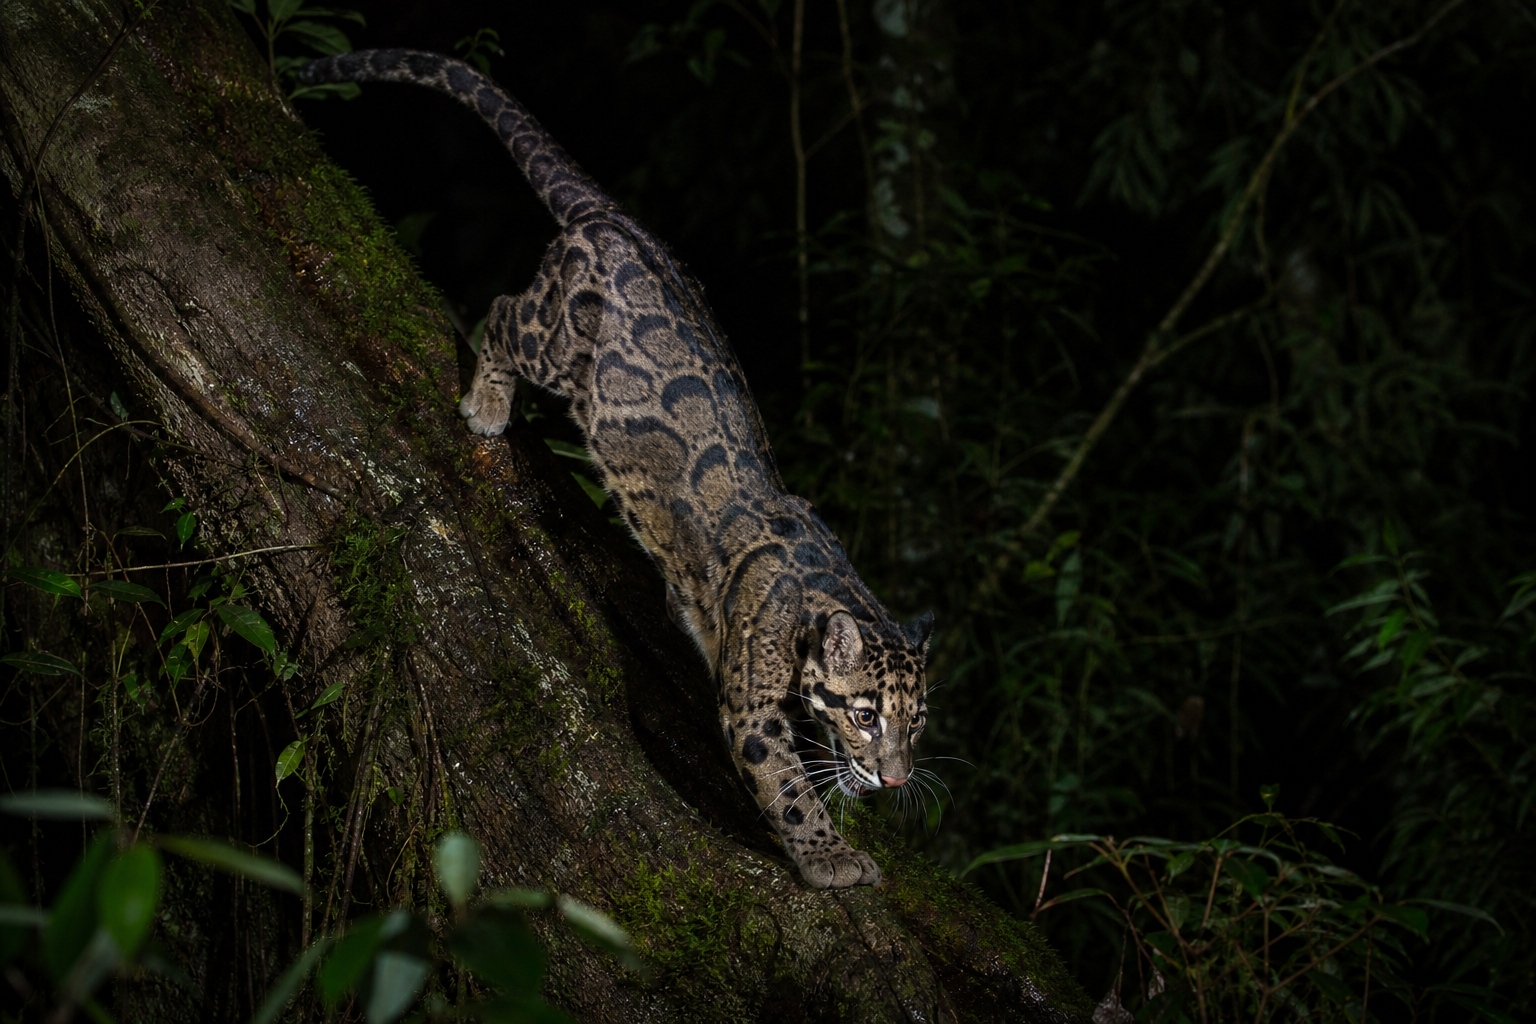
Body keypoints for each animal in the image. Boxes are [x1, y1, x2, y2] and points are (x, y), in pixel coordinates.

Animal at [300, 50, 935, 889]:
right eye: (867, 714)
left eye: (915, 724)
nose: (896, 778)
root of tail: (615, 220)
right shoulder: (752, 704)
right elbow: (787, 787)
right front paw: (830, 856)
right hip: (557, 342)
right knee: (499, 311)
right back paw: (488, 403)